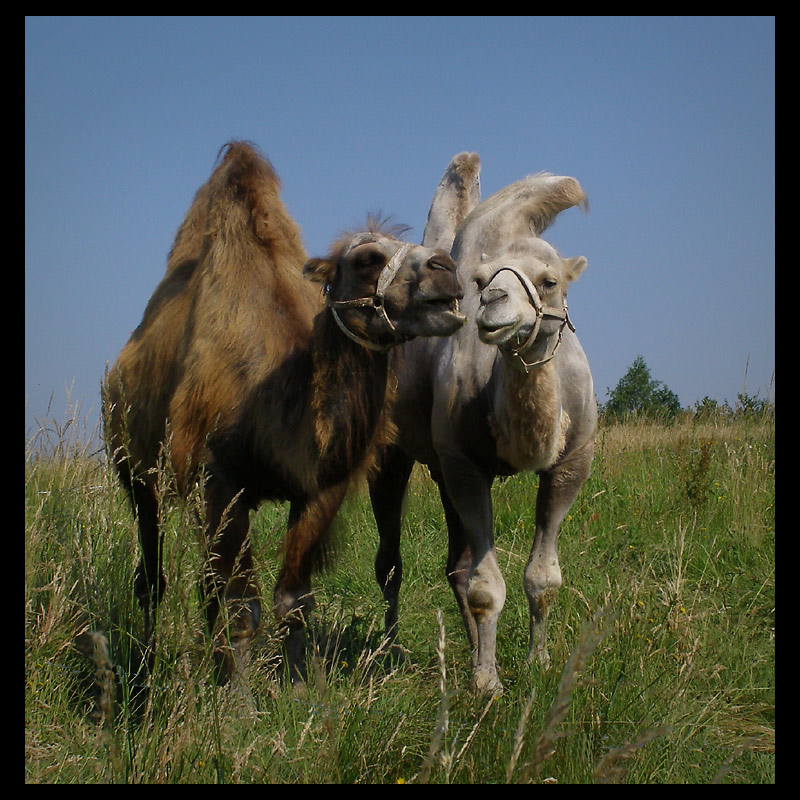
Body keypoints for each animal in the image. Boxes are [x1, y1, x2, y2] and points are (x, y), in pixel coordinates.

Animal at [107, 142, 468, 680]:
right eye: (367, 258)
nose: (447, 269)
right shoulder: (219, 478)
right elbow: (242, 607)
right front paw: (238, 699)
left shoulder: (321, 485)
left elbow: (293, 599)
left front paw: (299, 687)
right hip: (133, 468)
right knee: (152, 575)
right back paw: (146, 669)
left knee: (203, 584)